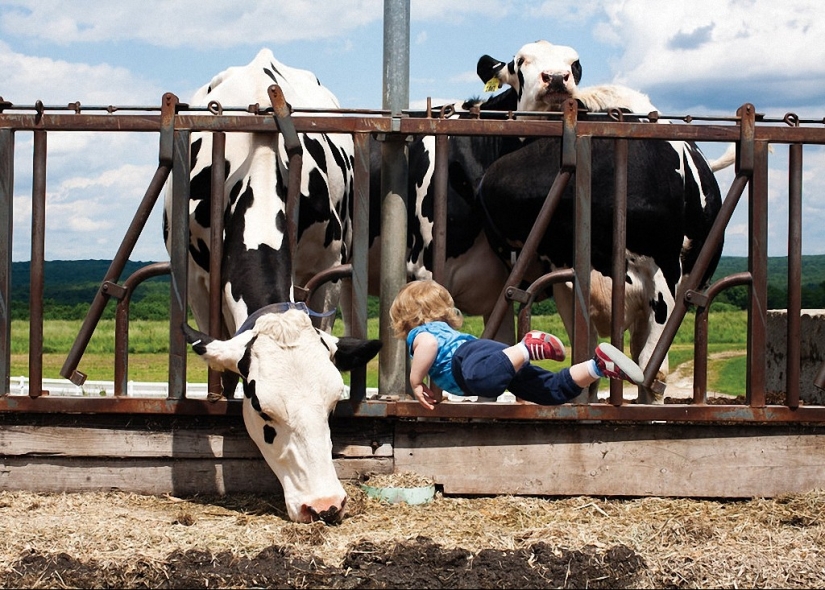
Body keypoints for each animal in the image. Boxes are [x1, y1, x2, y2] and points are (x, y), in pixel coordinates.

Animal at [476, 41, 720, 402]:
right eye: (520, 61)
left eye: (575, 64)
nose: (556, 77)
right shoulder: (565, 278)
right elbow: (587, 362)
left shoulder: (663, 272)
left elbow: (651, 371)